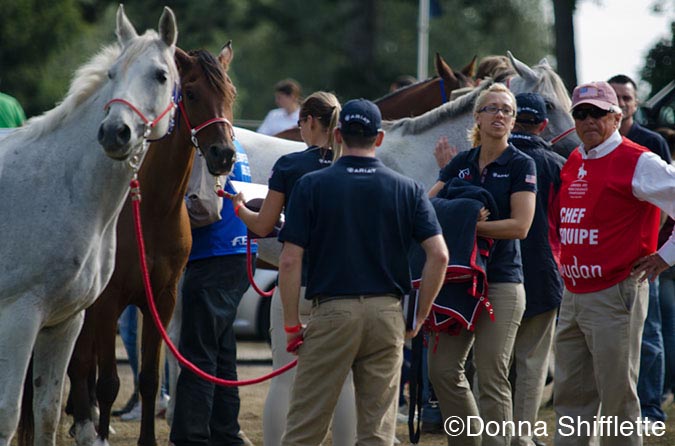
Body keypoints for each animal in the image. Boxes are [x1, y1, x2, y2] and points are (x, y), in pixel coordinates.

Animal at [17, 44, 239, 446]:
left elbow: (148, 379)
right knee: (80, 367)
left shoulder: (161, 301)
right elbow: (107, 381)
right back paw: (84, 421)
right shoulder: (108, 302)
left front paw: (146, 438)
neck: (150, 209)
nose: (224, 154)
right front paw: (99, 430)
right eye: (193, 93)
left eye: (230, 94)